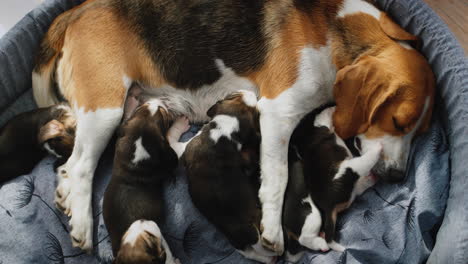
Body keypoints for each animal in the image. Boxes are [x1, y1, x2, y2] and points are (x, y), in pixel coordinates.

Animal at [103, 99, 182, 264]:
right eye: (163, 114)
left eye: (142, 107)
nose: (159, 100)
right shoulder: (167, 159)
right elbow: (171, 141)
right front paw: (180, 123)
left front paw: (131, 103)